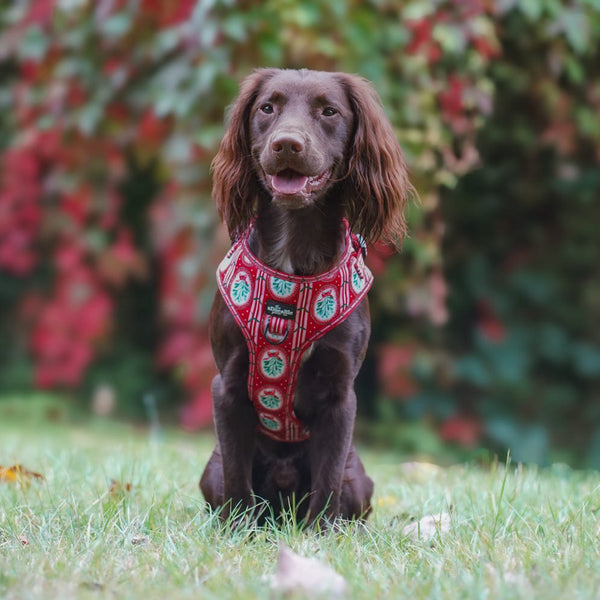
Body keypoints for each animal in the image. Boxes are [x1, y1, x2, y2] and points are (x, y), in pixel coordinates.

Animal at [199, 68, 410, 524]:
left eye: (329, 111)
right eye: (267, 108)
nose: (287, 143)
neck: (291, 266)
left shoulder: (339, 395)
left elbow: (327, 480)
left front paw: (321, 533)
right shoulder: (227, 387)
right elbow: (237, 477)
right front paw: (237, 530)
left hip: (360, 477)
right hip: (210, 469)